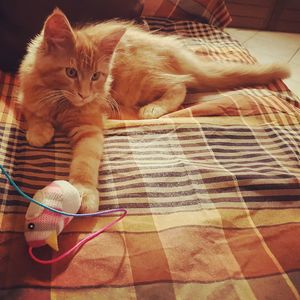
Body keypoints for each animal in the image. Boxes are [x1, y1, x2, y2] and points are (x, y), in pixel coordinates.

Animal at [19, 8, 290, 212]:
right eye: (71, 72)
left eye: (96, 76)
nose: (85, 94)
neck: (61, 102)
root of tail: (171, 48)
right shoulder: (28, 95)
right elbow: (34, 113)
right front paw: (39, 131)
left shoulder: (90, 126)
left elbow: (86, 161)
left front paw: (84, 192)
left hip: (139, 80)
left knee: (181, 83)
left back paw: (153, 109)